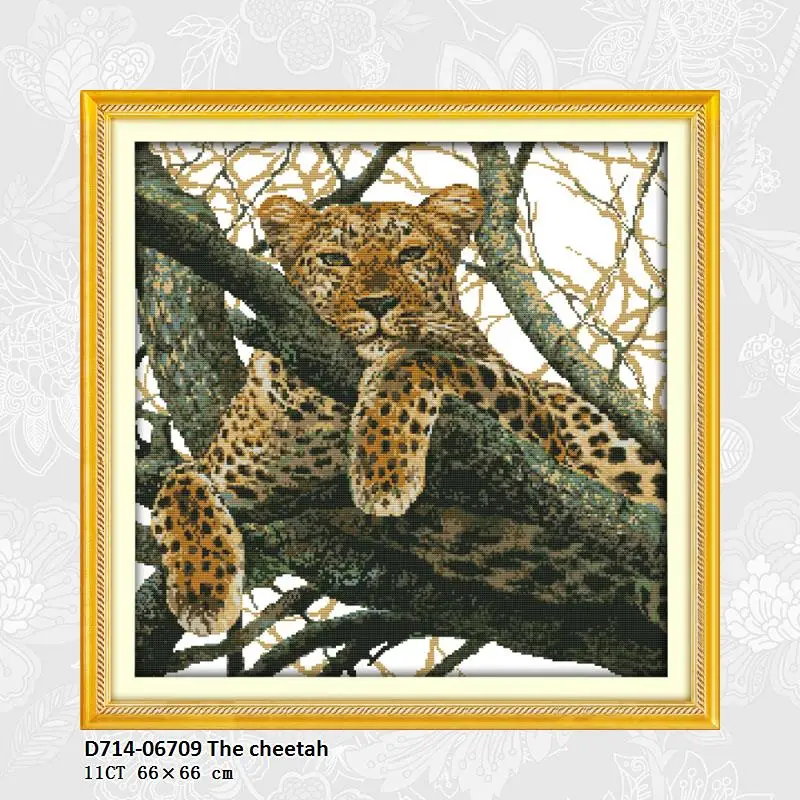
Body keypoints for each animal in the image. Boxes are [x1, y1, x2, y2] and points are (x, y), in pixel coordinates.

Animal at [150, 184, 666, 637]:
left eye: (411, 254)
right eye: (335, 260)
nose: (378, 303)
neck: (329, 401)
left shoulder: (545, 439)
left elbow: (410, 358)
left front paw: (382, 475)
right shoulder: (241, 474)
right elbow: (178, 482)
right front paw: (201, 595)